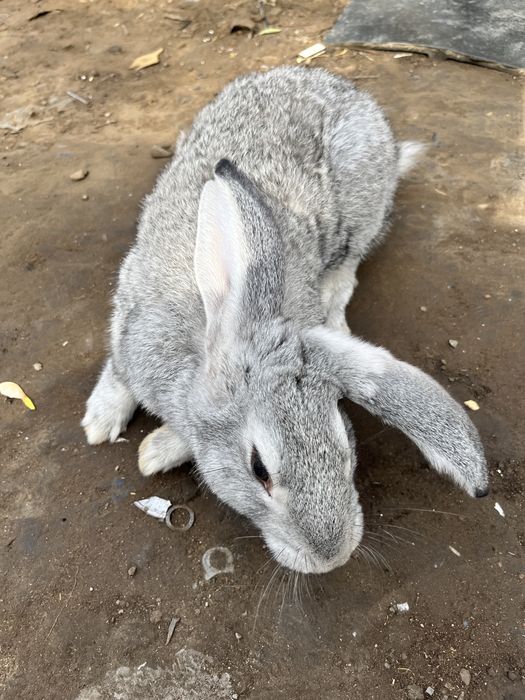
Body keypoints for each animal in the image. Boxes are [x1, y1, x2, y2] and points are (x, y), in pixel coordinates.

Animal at [82, 66, 488, 574]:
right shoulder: (130, 326)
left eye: (344, 443)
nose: (332, 556)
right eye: (259, 469)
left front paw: (155, 451)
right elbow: (118, 372)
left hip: (360, 217)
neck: (218, 317)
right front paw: (101, 425)